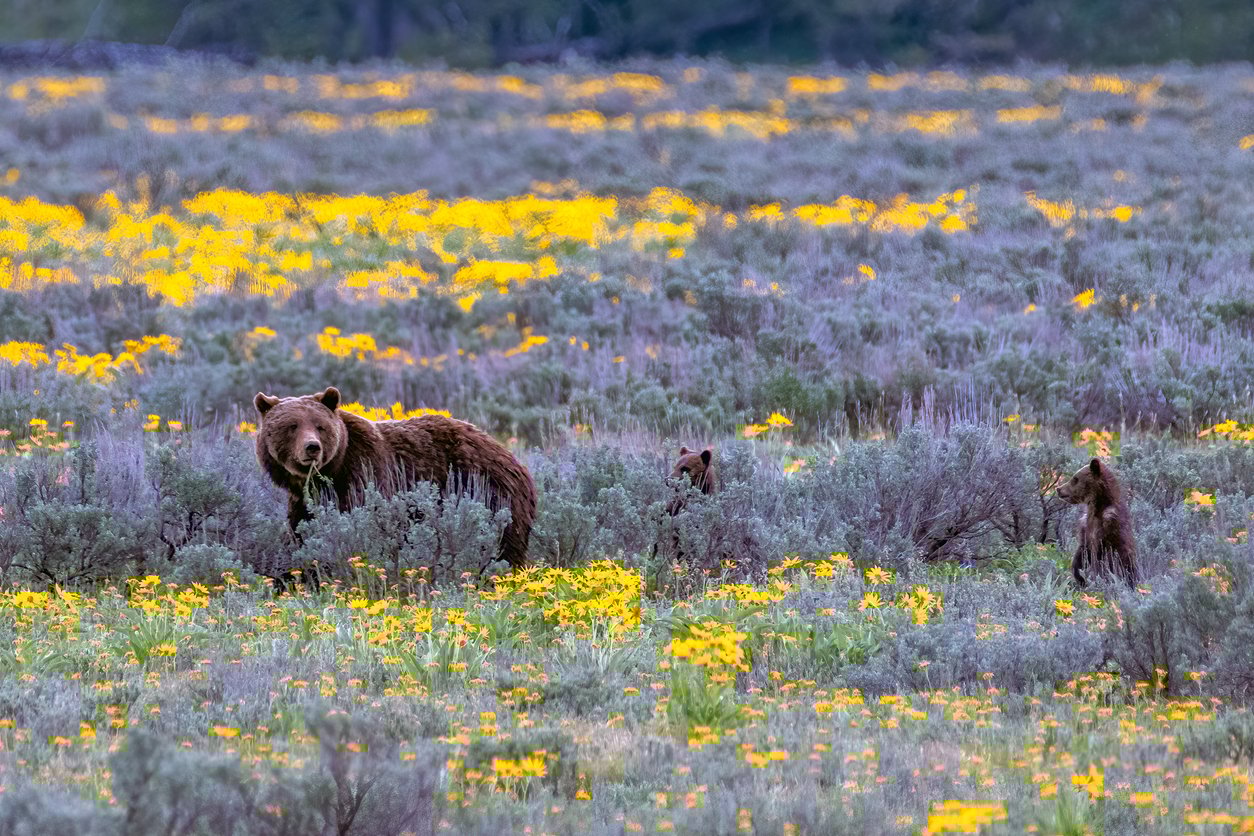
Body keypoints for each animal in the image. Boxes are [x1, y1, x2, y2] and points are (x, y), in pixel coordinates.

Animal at [254, 386, 536, 570]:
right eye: (292, 426)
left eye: (319, 426)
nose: (312, 447)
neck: (329, 474)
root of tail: (513, 458)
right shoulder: (303, 501)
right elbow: (301, 534)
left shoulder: (366, 473)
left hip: (492, 493)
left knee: (503, 544)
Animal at [1055, 457, 1138, 587]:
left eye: (1075, 479)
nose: (1058, 489)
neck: (1096, 508)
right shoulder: (1085, 526)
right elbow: (1082, 551)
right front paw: (1079, 574)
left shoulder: (1109, 527)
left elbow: (1101, 557)